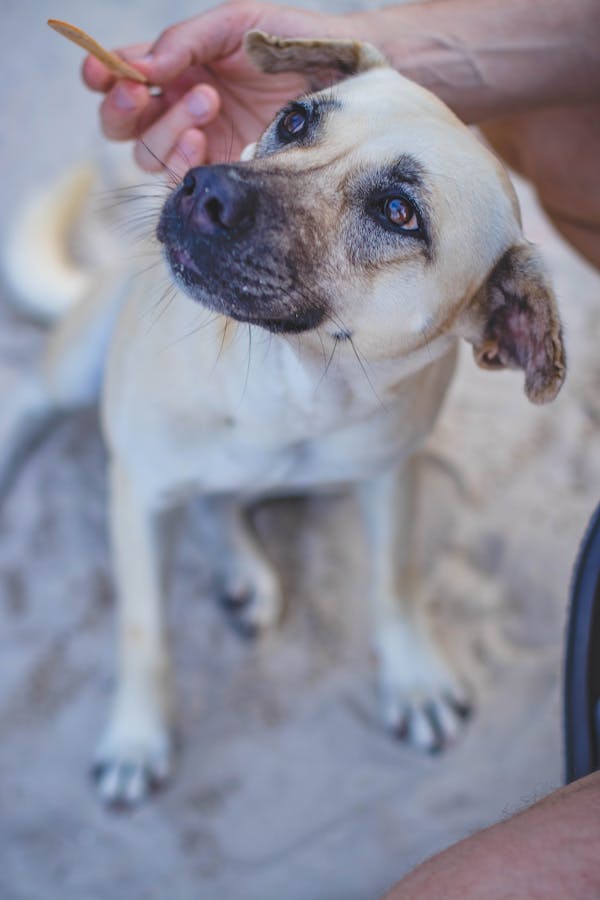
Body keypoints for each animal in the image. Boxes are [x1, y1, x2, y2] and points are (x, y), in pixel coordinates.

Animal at [0, 31, 564, 804]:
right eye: (295, 121)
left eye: (399, 212)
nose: (204, 188)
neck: (286, 382)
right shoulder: (140, 493)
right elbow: (144, 634)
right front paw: (136, 737)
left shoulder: (390, 474)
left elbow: (396, 582)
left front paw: (413, 677)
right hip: (81, 366)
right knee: (30, 396)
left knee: (223, 500)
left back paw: (244, 565)